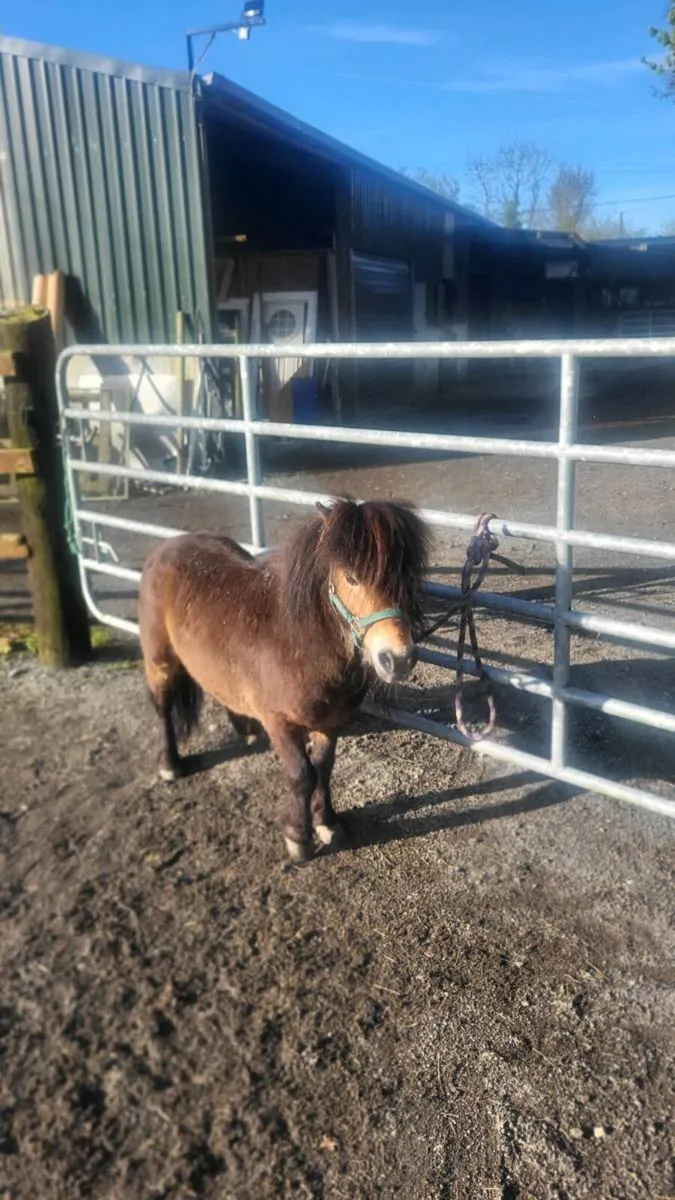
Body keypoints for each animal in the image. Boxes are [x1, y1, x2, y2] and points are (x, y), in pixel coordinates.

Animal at [138, 498, 431, 863]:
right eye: (352, 578)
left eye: (408, 576)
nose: (398, 659)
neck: (301, 642)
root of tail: (164, 548)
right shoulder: (281, 722)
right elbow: (302, 774)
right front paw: (299, 838)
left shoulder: (331, 722)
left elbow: (324, 768)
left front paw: (327, 822)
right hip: (160, 661)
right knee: (164, 709)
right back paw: (170, 764)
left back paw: (246, 730)